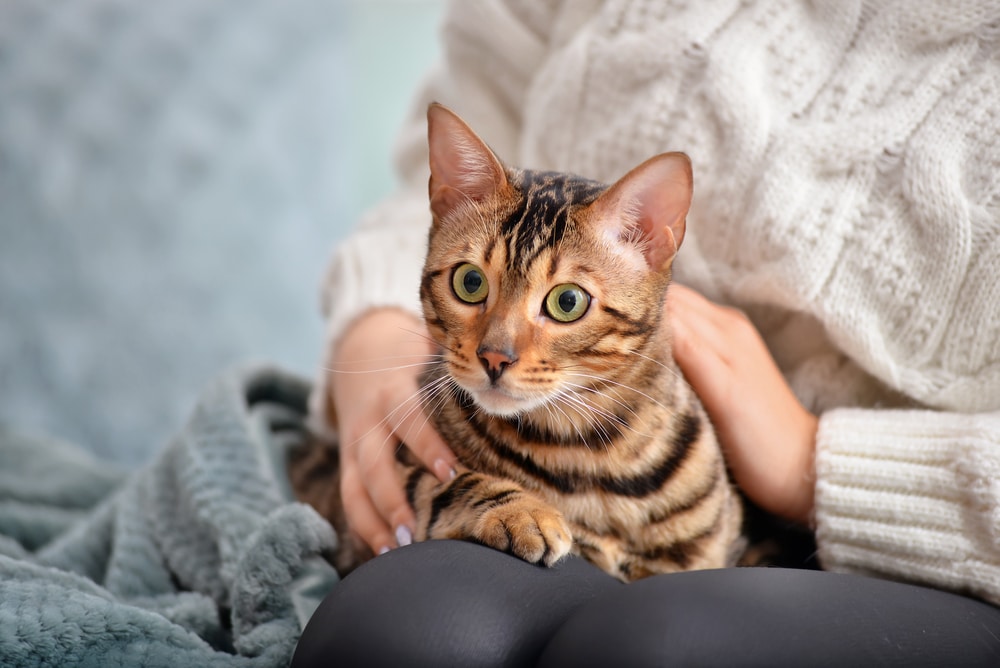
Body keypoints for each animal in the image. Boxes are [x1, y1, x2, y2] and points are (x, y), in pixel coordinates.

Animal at [290, 103, 744, 580]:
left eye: (568, 301)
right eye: (470, 282)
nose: (494, 357)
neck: (585, 452)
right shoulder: (380, 483)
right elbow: (445, 481)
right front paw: (523, 512)